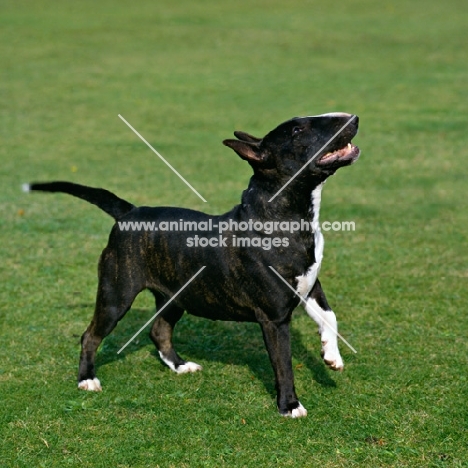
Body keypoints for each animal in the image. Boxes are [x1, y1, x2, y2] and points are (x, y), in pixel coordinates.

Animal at [25, 112, 360, 416]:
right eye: (297, 130)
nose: (352, 117)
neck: (283, 217)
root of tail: (129, 212)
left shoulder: (311, 286)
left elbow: (329, 316)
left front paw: (332, 356)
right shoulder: (274, 317)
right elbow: (283, 364)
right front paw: (290, 405)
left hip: (176, 295)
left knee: (159, 330)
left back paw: (180, 365)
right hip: (116, 294)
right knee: (91, 335)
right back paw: (87, 379)